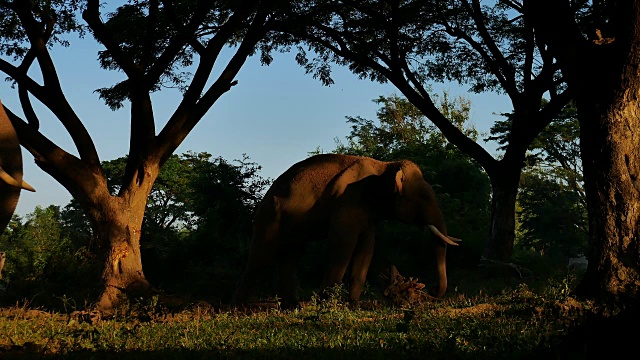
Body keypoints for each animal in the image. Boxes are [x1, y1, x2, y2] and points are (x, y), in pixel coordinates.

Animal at [235, 153, 460, 308]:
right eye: (423, 197)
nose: (431, 289)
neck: (384, 166)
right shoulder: (347, 202)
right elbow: (343, 244)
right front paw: (326, 303)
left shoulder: (367, 213)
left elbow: (367, 247)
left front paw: (353, 305)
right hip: (270, 217)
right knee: (261, 256)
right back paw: (244, 307)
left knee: (292, 256)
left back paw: (292, 306)